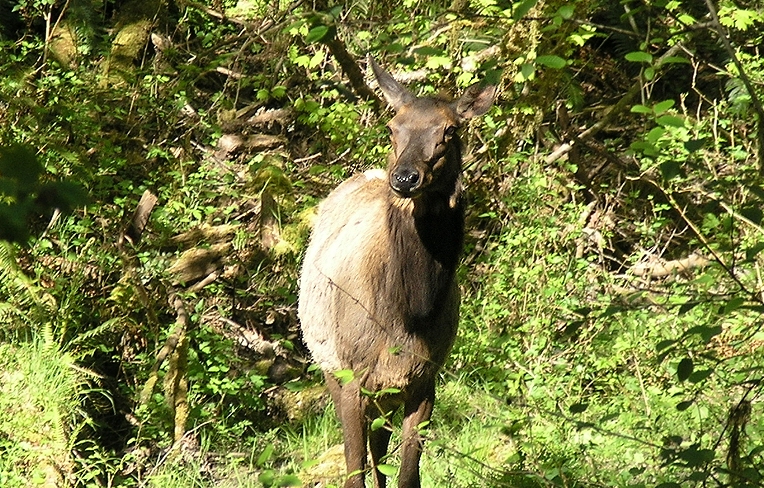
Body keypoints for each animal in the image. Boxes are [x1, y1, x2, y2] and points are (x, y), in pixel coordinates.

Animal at [298, 57, 496, 488]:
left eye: (450, 129)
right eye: (392, 127)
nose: (405, 177)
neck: (408, 312)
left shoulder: (425, 379)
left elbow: (407, 475)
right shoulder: (351, 377)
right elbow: (353, 473)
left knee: (379, 451)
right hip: (330, 366)